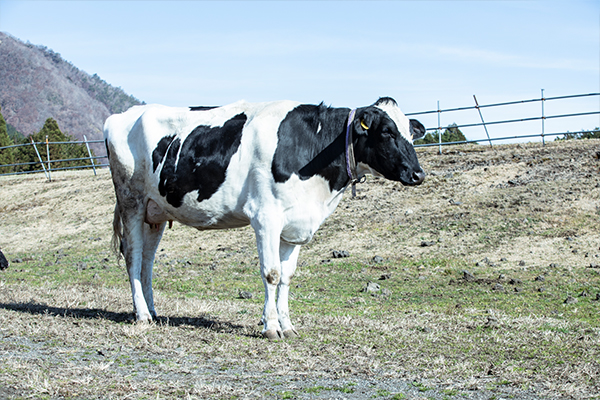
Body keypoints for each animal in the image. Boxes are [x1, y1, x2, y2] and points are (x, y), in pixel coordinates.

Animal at [105, 97, 428, 338]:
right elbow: (271, 273)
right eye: (386, 131)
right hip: (131, 201)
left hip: (156, 212)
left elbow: (286, 276)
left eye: (411, 133)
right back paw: (142, 315)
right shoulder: (265, 217)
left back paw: (153, 311)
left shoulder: (295, 225)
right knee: (133, 257)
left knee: (148, 261)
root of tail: (122, 115)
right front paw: (271, 326)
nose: (418, 174)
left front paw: (288, 325)